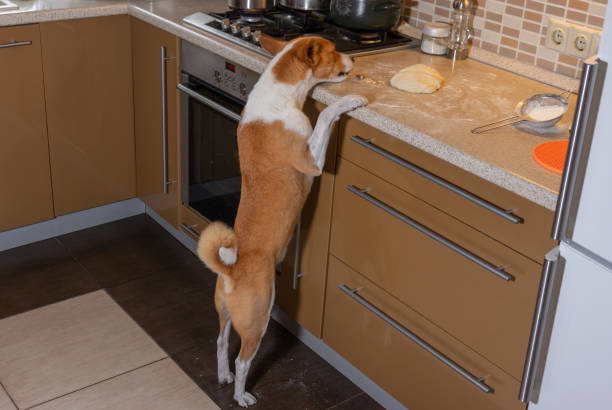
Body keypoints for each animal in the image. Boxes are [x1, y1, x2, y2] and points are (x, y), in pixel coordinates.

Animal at [198, 36, 366, 406]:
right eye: (335, 51)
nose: (355, 61)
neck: (281, 94)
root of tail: (231, 271)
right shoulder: (311, 160)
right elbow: (326, 115)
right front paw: (351, 100)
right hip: (259, 318)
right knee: (242, 359)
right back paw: (241, 395)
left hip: (225, 313)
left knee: (219, 341)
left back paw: (222, 376)